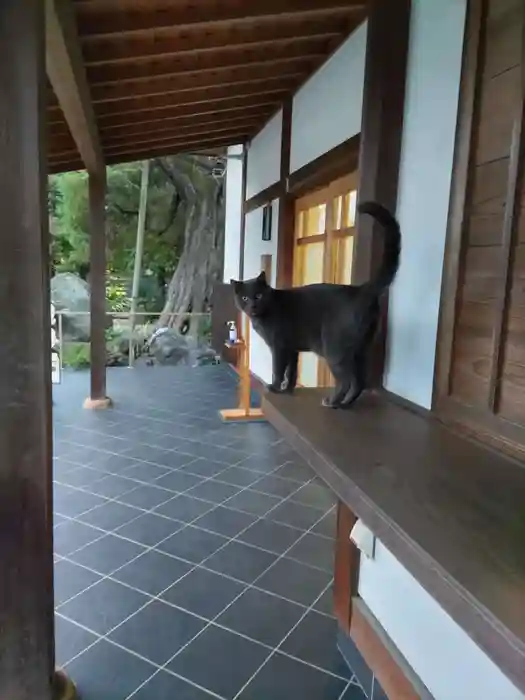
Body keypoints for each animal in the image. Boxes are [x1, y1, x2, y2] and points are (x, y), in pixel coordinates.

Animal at [230, 202, 402, 408]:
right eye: (245, 298)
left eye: (258, 295)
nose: (253, 305)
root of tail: (361, 289)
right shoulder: (292, 348)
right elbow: (292, 371)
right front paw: (287, 389)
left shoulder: (279, 346)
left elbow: (278, 369)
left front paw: (274, 387)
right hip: (361, 349)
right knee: (360, 380)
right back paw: (345, 404)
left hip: (334, 348)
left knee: (346, 380)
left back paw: (332, 401)